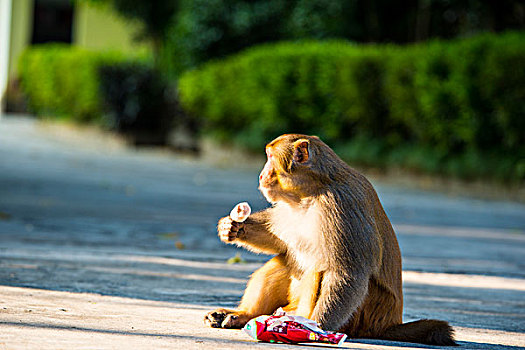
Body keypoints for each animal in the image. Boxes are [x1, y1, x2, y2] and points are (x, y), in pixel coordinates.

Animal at [205, 135, 454, 348]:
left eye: (271, 158)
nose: (261, 175)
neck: (310, 193)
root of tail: (386, 323)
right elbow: (280, 241)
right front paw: (233, 227)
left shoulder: (340, 205)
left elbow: (348, 273)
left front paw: (317, 328)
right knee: (287, 260)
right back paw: (245, 316)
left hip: (363, 314)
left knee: (319, 269)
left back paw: (296, 322)